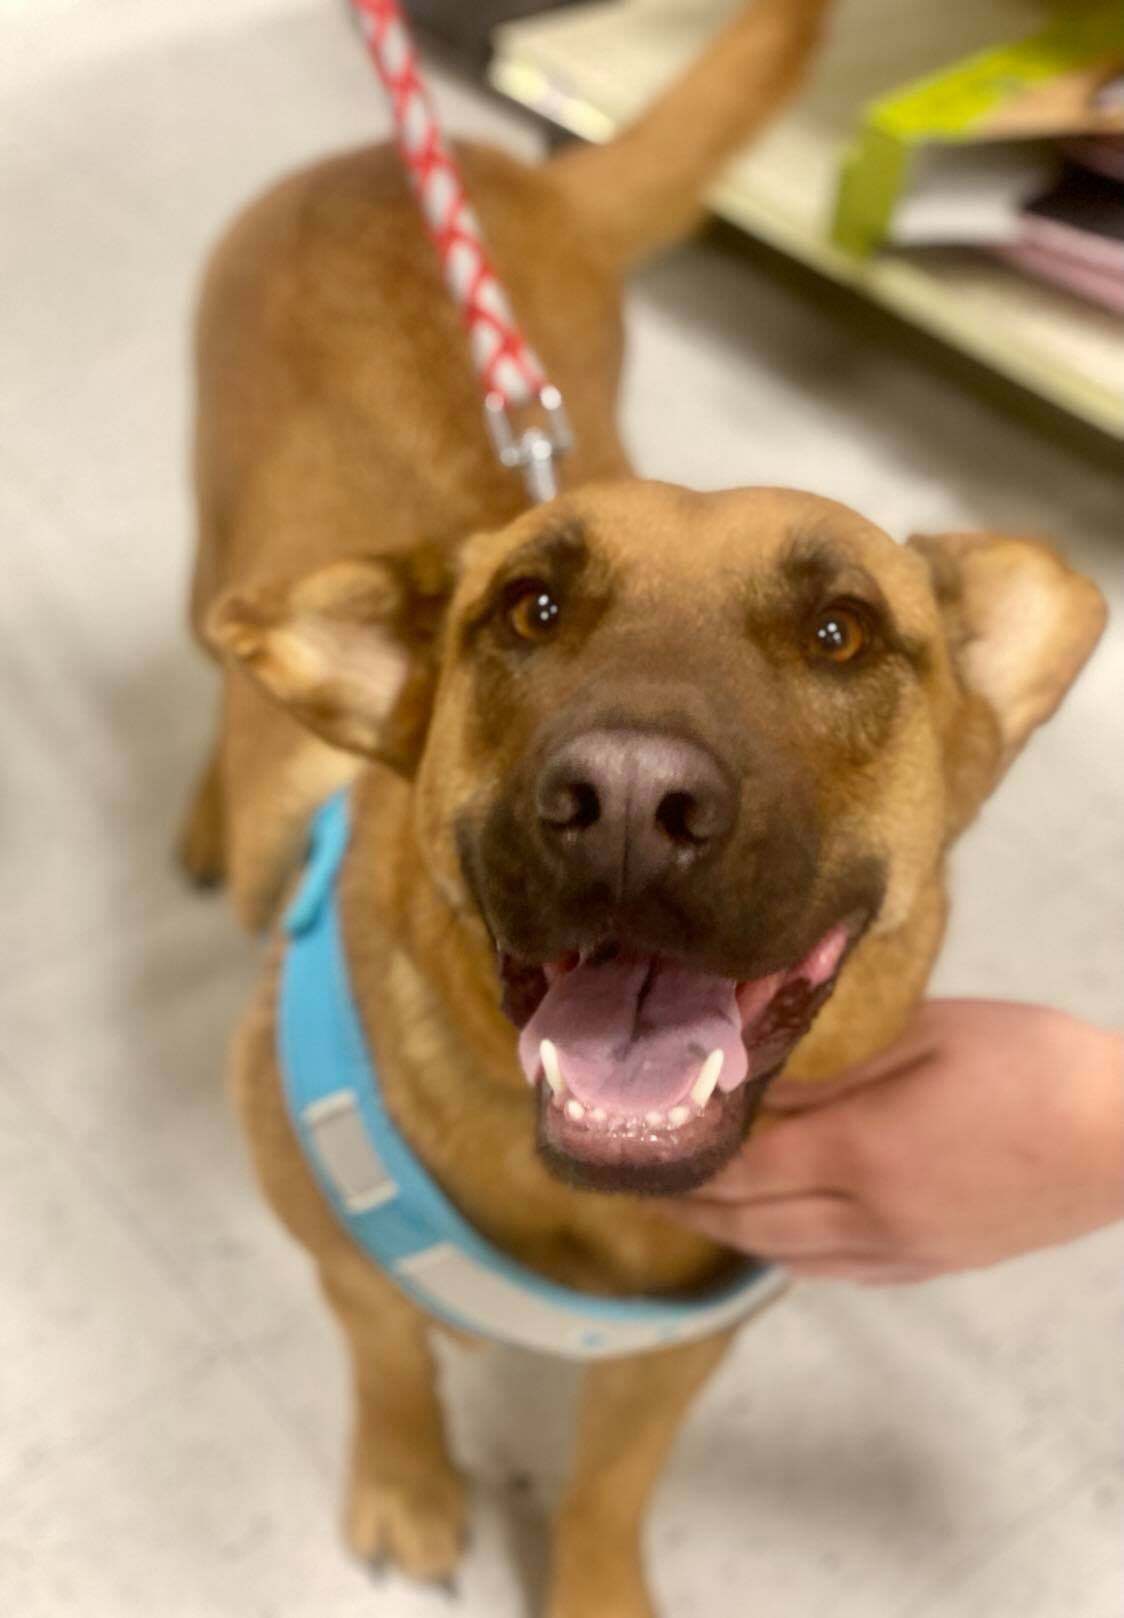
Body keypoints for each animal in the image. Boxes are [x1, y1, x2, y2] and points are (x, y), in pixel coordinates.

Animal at [182, 6, 1106, 1611]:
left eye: (842, 633)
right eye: (527, 609)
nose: (624, 800)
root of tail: (460, 159)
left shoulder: (682, 1355)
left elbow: (612, 1482)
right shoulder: (336, 1249)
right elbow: (388, 1356)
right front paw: (410, 1479)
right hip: (205, 531)